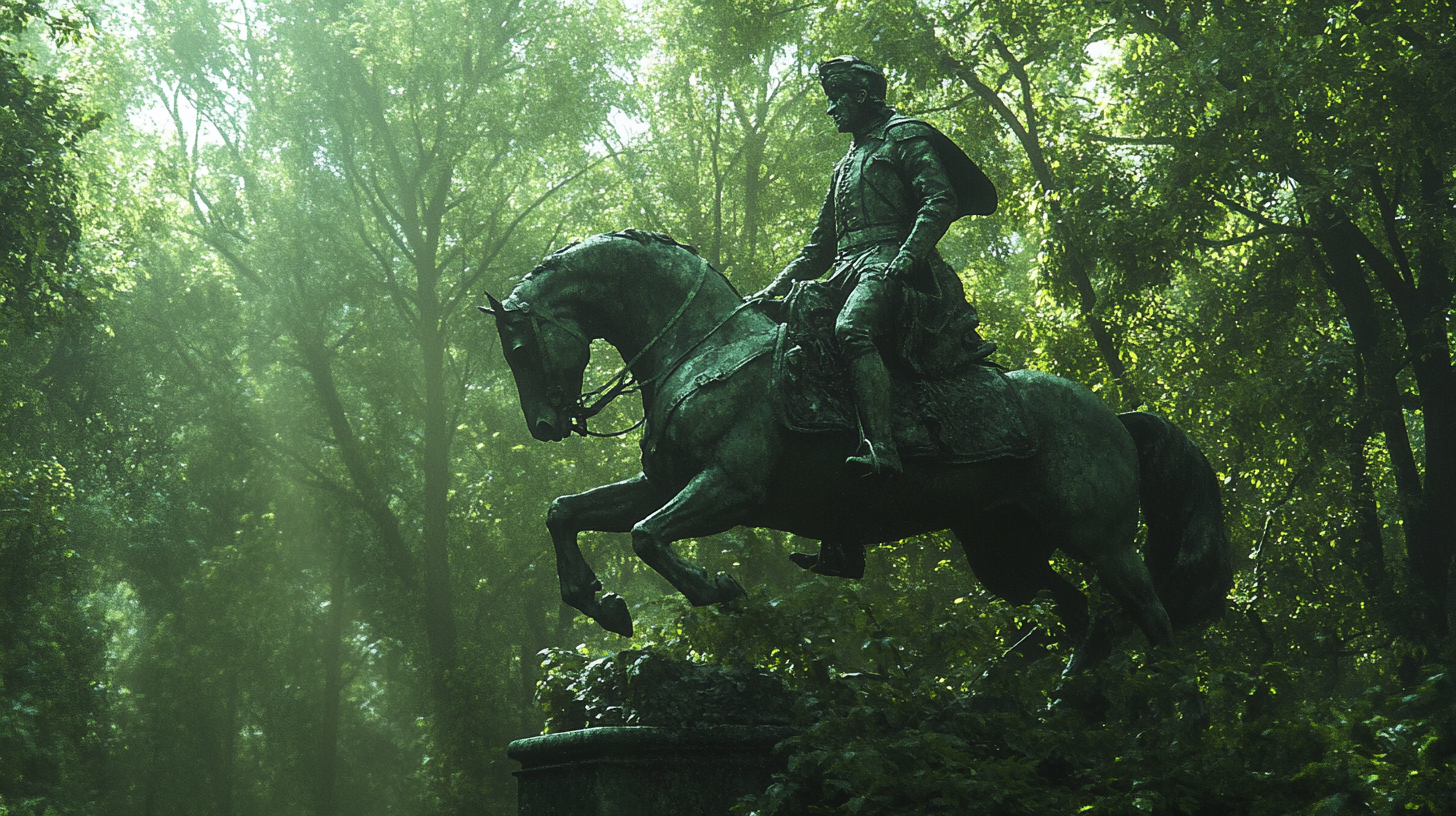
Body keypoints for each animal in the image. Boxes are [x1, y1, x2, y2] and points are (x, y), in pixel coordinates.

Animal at [480, 230, 1228, 670]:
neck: (705, 351)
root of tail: (1115, 418)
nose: (545, 425)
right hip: (1004, 553)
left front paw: (715, 588)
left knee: (1149, 614)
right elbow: (565, 511)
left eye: (517, 346)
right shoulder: (667, 483)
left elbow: (645, 536)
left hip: (1101, 540)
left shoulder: (732, 486)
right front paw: (597, 601)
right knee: (1078, 614)